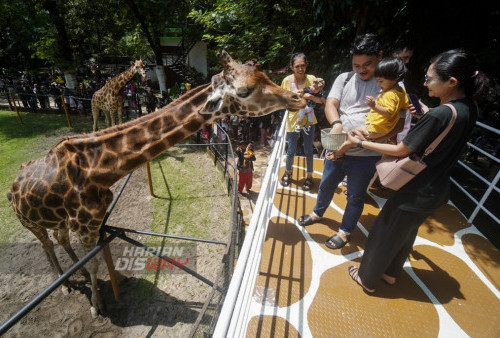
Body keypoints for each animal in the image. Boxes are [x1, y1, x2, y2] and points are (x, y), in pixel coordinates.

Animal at [6, 51, 304, 318]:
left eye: (264, 75)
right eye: (244, 91)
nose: (298, 98)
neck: (99, 170)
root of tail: (11, 189)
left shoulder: (95, 222)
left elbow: (97, 257)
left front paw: (115, 281)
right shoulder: (84, 226)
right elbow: (93, 265)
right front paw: (97, 306)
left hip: (55, 220)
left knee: (59, 239)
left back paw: (73, 273)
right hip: (31, 222)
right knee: (46, 245)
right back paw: (65, 284)